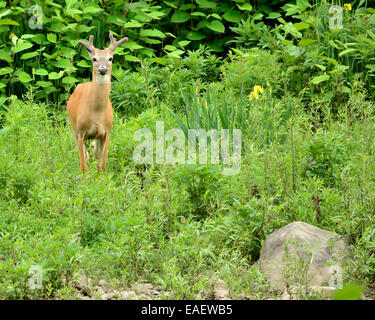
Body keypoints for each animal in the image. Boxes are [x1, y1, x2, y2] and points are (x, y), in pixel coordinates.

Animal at [66, 33, 128, 172]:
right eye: (94, 59)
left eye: (110, 58)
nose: (102, 70)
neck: (97, 112)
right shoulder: (81, 132)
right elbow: (83, 165)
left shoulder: (107, 132)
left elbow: (102, 164)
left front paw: (101, 177)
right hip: (73, 129)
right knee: (86, 155)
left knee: (95, 153)